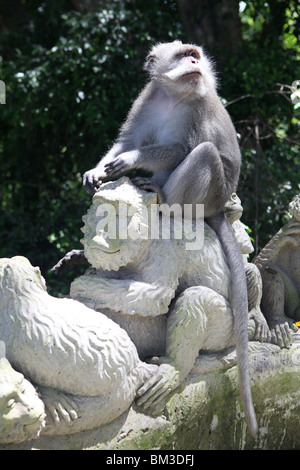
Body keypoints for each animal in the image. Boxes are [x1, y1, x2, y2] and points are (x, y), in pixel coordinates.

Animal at [82, 41, 258, 436]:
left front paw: (132, 159)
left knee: (202, 153)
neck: (175, 97)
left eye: (195, 54)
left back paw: (162, 197)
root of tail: (219, 207)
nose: (194, 60)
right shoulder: (147, 98)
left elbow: (180, 148)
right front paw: (97, 170)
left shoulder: (198, 106)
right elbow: (126, 139)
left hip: (209, 194)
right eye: (183, 54)